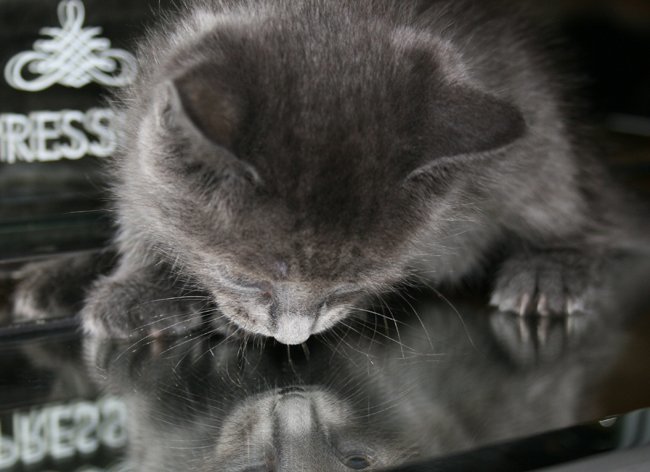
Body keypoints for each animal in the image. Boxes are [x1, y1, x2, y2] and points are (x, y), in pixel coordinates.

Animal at [79, 0, 636, 342]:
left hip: (540, 135)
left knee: (577, 208)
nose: (292, 336)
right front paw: (140, 286)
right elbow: (140, 214)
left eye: (348, 287)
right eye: (244, 279)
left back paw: (552, 269)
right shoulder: (137, 144)